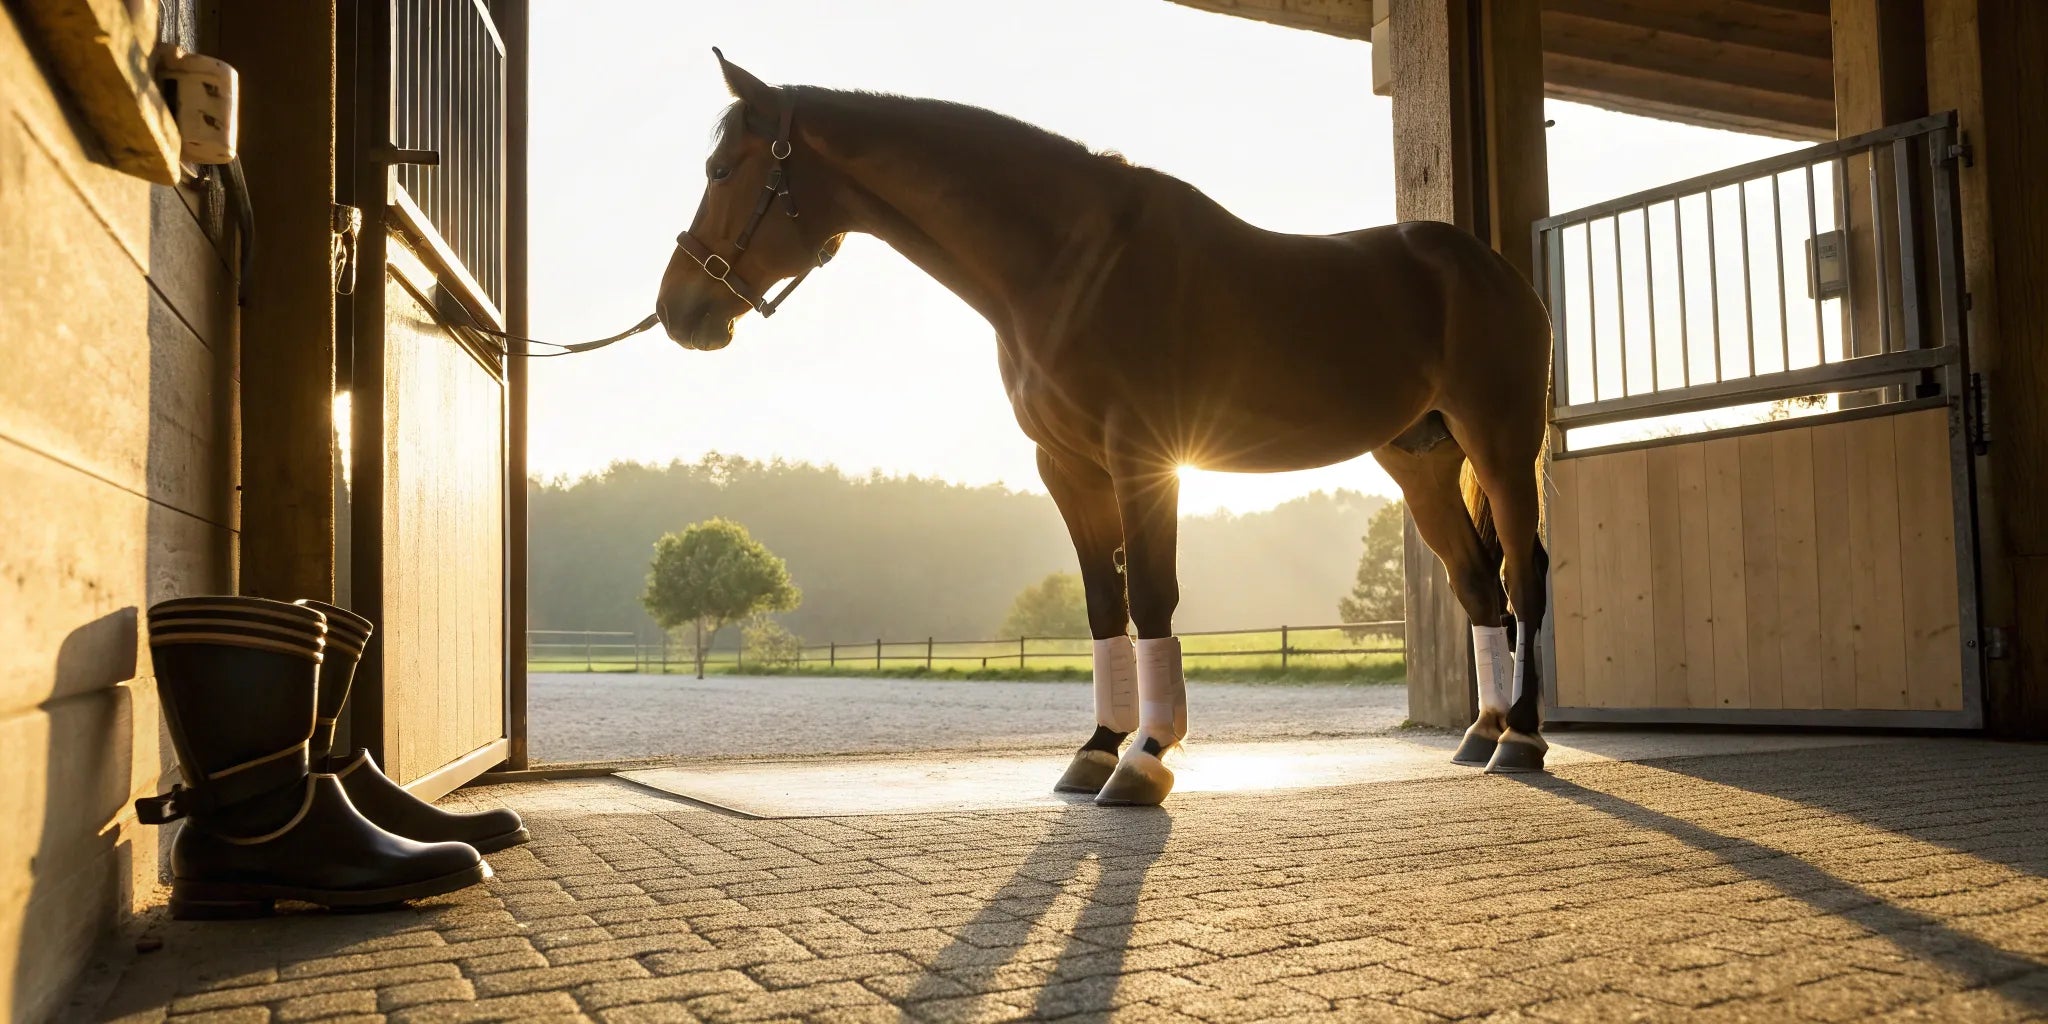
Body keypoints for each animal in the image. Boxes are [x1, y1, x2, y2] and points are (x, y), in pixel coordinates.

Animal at [655, 51, 1553, 806]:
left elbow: (1151, 596)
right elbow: (1101, 605)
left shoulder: (1145, 457)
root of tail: (1489, 267)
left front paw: (1147, 757)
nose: (678, 312)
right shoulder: (1068, 465)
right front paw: (1095, 748)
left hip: (1502, 444)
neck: (1068, 263)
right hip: (1421, 462)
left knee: (1523, 572)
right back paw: (1482, 732)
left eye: (722, 169)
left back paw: (1523, 738)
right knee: (1477, 584)